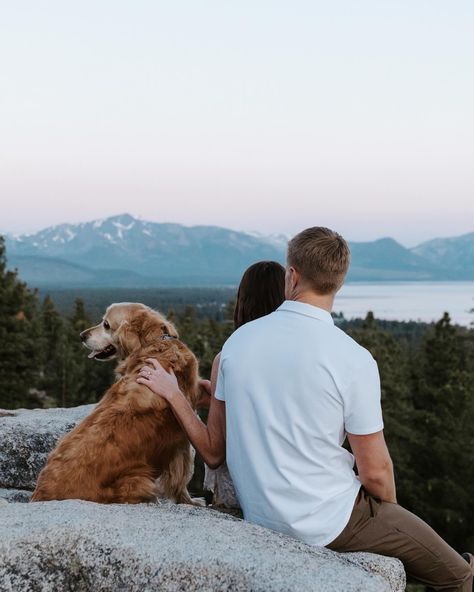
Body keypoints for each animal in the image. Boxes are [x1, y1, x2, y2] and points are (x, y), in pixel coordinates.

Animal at [30, 306, 199, 504]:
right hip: (140, 481)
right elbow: (181, 478)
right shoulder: (181, 441)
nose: (81, 335)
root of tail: (40, 494)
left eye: (106, 324)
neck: (153, 342)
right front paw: (190, 501)